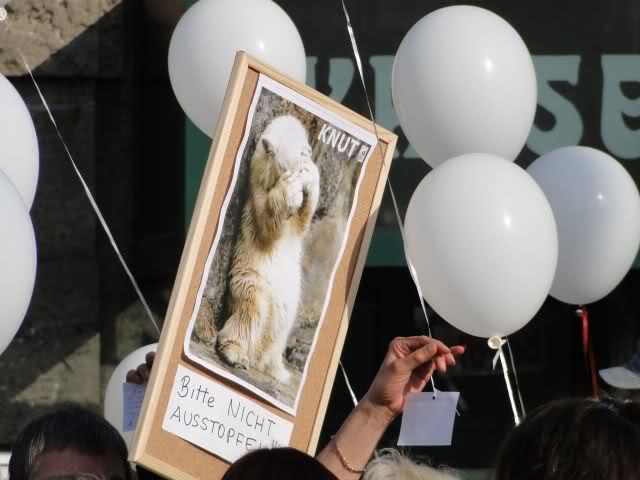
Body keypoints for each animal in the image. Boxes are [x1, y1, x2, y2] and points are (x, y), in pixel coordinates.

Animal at [215, 115, 320, 383]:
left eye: (303, 154)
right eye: (288, 161)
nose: (302, 163)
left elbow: (302, 221)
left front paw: (309, 176)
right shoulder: (255, 189)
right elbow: (267, 223)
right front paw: (290, 190)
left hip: (290, 298)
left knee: (282, 325)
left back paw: (279, 370)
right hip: (252, 279)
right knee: (251, 311)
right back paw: (236, 353)